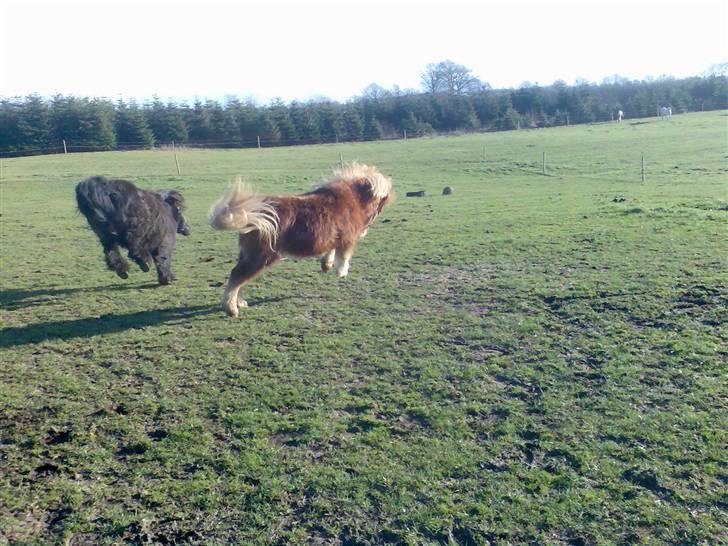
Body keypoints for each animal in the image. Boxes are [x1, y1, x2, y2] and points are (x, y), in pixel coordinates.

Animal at [209, 162, 392, 314]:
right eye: (382, 203)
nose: (366, 230)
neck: (354, 198)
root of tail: (253, 216)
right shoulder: (348, 239)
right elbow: (344, 257)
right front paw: (341, 272)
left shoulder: (335, 237)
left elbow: (331, 250)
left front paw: (326, 265)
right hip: (260, 256)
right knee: (237, 276)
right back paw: (231, 309)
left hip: (249, 255)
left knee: (241, 278)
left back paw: (240, 303)